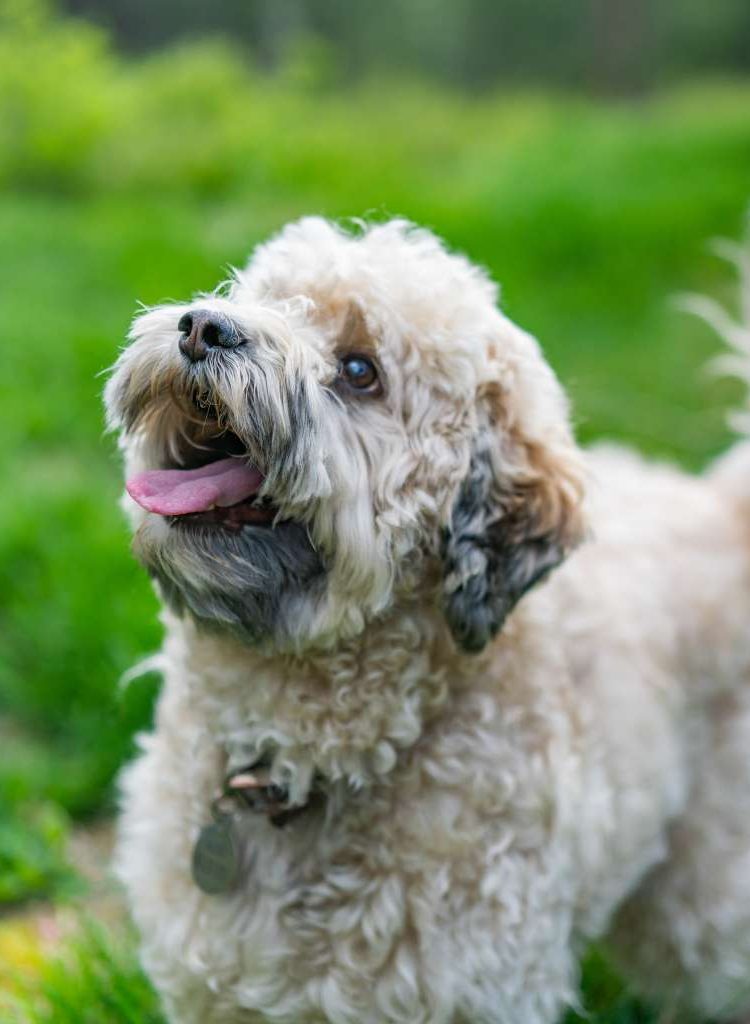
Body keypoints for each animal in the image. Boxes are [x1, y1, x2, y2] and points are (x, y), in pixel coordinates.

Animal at [103, 218, 750, 1024]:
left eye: (360, 370)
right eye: (261, 296)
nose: (201, 327)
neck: (298, 761)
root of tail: (727, 506)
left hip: (711, 897)